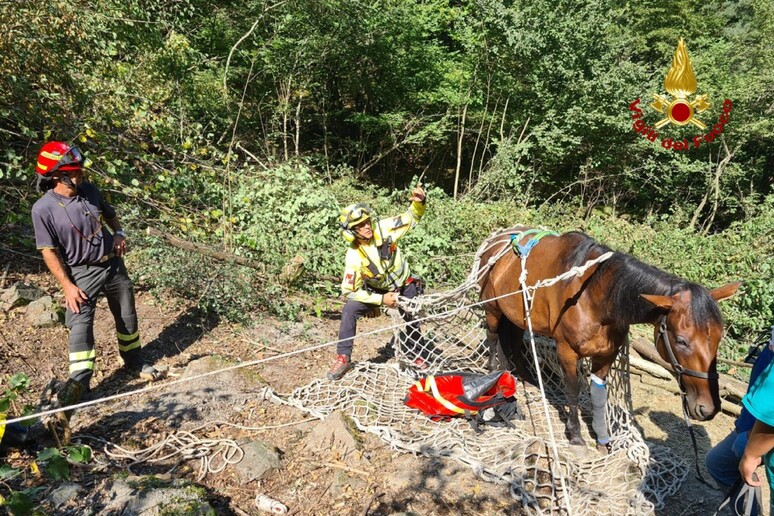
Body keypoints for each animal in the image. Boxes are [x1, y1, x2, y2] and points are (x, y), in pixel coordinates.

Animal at [478, 227, 740, 448]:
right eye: (681, 341)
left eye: (718, 339)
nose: (707, 407)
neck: (594, 297)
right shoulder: (566, 351)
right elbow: (573, 390)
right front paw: (576, 435)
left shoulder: (606, 356)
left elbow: (598, 396)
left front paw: (602, 436)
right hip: (493, 308)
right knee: (493, 337)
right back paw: (493, 374)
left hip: (517, 316)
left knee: (511, 342)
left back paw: (520, 376)